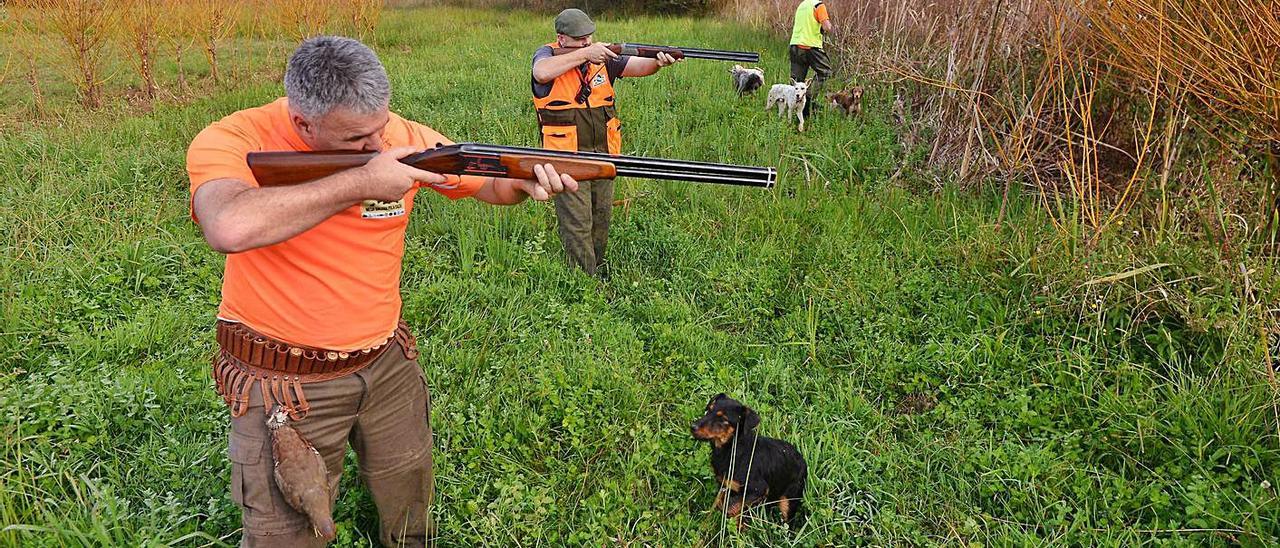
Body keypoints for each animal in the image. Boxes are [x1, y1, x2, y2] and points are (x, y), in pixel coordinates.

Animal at [691, 394, 808, 527]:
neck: (732, 449)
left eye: (723, 420)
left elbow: (730, 506)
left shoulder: (758, 489)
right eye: (708, 410)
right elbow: (724, 502)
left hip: (789, 499)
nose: (692, 427)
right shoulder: (725, 485)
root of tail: (803, 461)